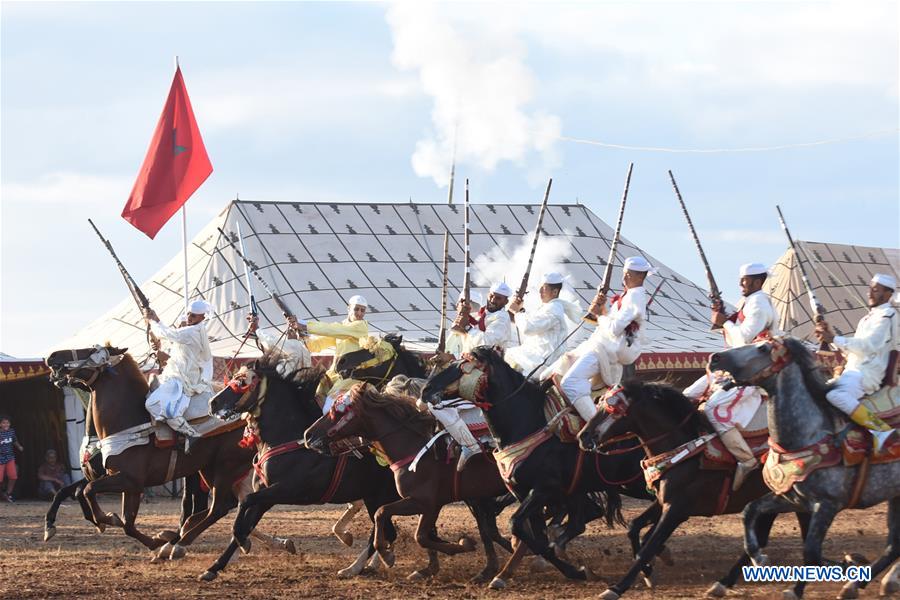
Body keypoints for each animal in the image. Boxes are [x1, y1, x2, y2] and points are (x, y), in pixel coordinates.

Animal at [46, 344, 256, 560]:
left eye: (90, 350)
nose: (52, 356)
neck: (129, 423)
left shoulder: (129, 479)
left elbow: (88, 491)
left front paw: (107, 519)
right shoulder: (126, 483)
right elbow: (127, 523)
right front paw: (154, 541)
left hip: (226, 466)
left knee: (219, 507)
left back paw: (181, 543)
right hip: (208, 469)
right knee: (224, 504)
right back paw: (180, 537)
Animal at [206, 352, 402, 580]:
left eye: (241, 382)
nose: (213, 402)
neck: (289, 439)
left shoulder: (286, 491)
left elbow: (245, 504)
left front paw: (244, 544)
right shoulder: (266, 495)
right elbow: (246, 520)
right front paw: (213, 567)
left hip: (379, 497)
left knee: (385, 532)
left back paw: (356, 567)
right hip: (374, 497)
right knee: (385, 531)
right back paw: (360, 565)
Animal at [304, 382, 510, 584]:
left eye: (337, 411)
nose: (308, 435)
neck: (416, 447)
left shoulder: (425, 502)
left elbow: (413, 532)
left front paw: (461, 546)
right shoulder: (428, 503)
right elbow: (394, 520)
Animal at [418, 344, 652, 588]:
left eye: (463, 365)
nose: (426, 389)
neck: (528, 423)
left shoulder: (542, 490)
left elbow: (515, 524)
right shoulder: (523, 493)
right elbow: (534, 536)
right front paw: (574, 570)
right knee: (582, 519)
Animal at [712, 338, 900, 600]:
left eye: (763, 348)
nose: (715, 358)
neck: (807, 435)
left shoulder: (828, 505)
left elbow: (811, 551)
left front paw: (797, 589)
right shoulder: (792, 498)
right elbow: (750, 511)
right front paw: (759, 558)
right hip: (895, 497)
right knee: (894, 545)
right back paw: (858, 584)